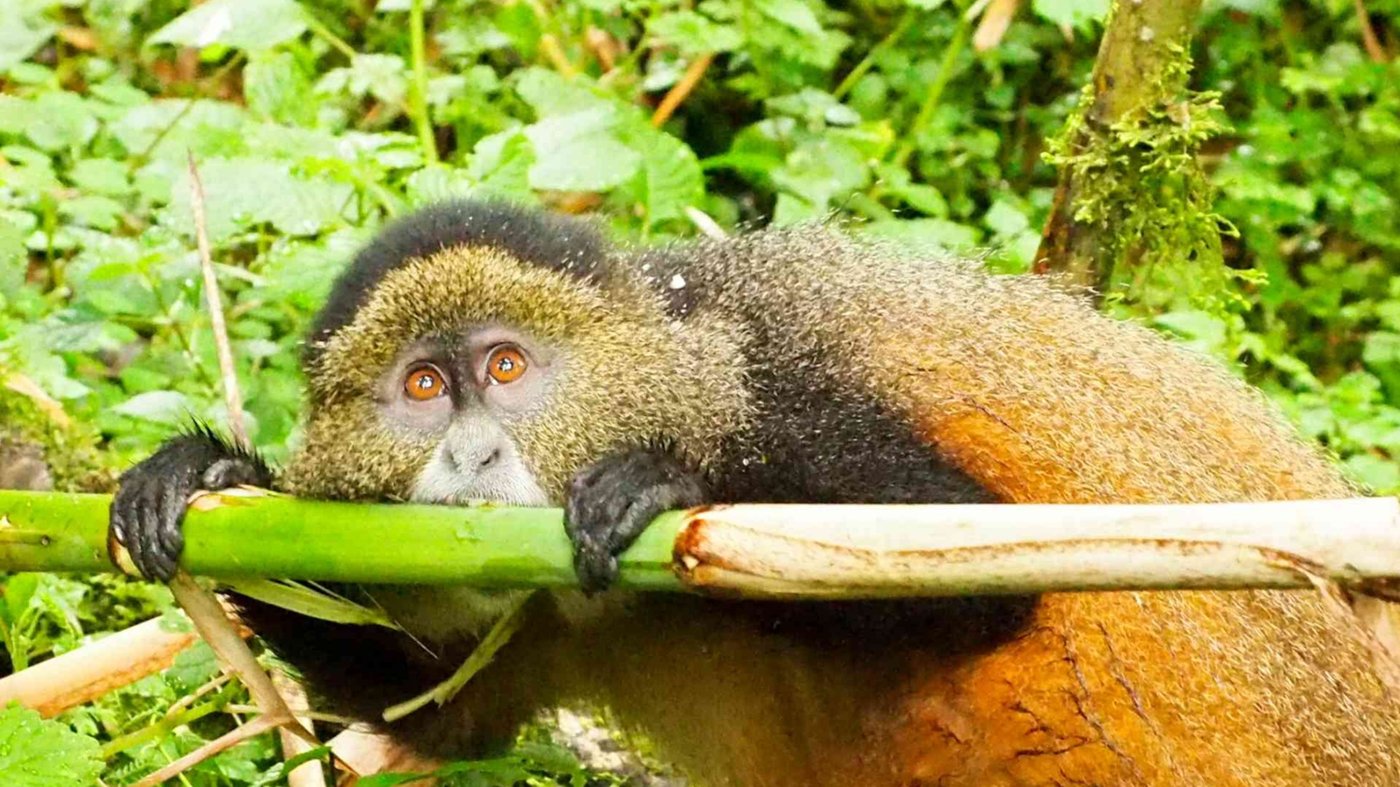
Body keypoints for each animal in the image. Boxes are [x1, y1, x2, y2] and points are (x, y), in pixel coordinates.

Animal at [108, 199, 1400, 786]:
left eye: (506, 369)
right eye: (421, 387)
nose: (471, 458)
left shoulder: (783, 393)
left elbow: (987, 579)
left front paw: (663, 483)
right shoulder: (520, 616)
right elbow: (442, 717)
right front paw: (208, 475)